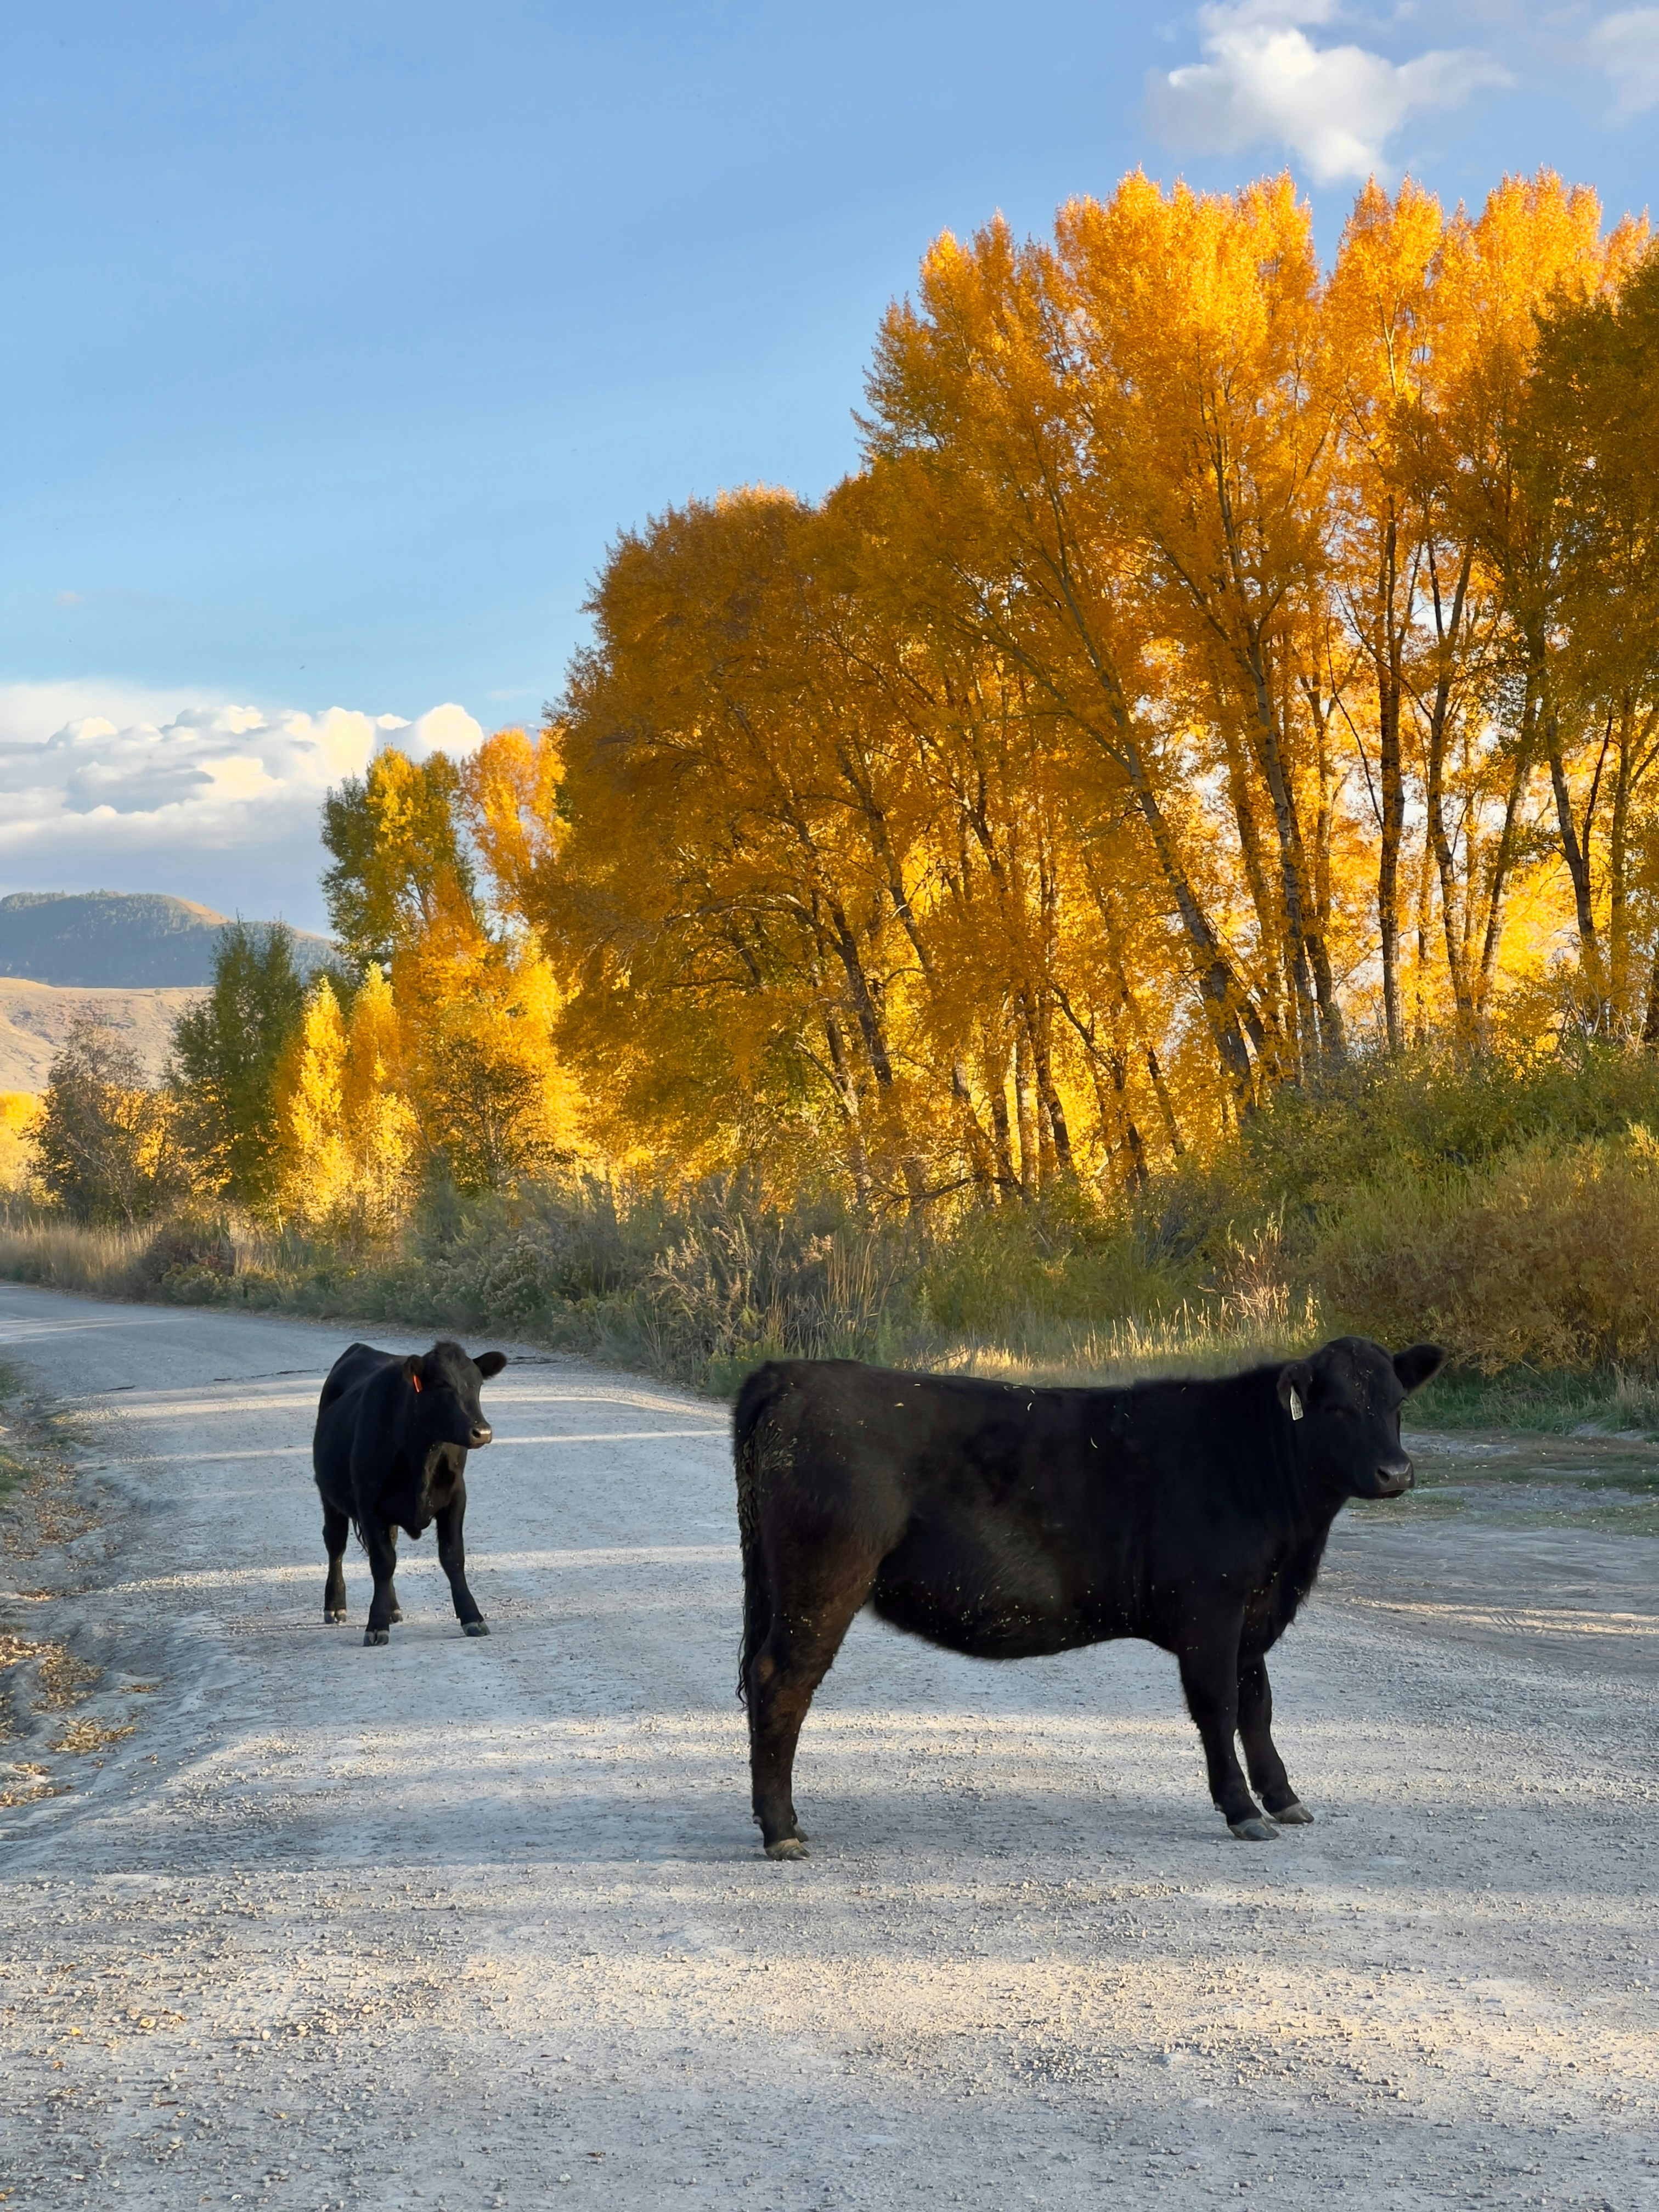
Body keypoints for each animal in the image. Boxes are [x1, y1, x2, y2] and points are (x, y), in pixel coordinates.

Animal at [312, 1339, 508, 1646]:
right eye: (441, 1385)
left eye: (477, 1384)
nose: (483, 1432)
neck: (422, 1455)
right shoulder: (368, 1503)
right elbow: (382, 1561)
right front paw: (376, 1625)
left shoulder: (456, 1497)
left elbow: (453, 1557)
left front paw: (472, 1617)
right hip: (329, 1495)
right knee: (336, 1544)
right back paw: (335, 1605)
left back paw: (393, 1608)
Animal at [734, 1334, 1443, 1857]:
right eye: (1338, 1408)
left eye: (1397, 1404)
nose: (1396, 1472)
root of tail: (789, 1374)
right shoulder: (1211, 1608)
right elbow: (1218, 1708)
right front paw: (1243, 1809)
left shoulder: (1252, 1612)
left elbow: (1258, 1706)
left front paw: (1284, 1797)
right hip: (823, 1582)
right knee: (781, 1682)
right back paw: (782, 1830)